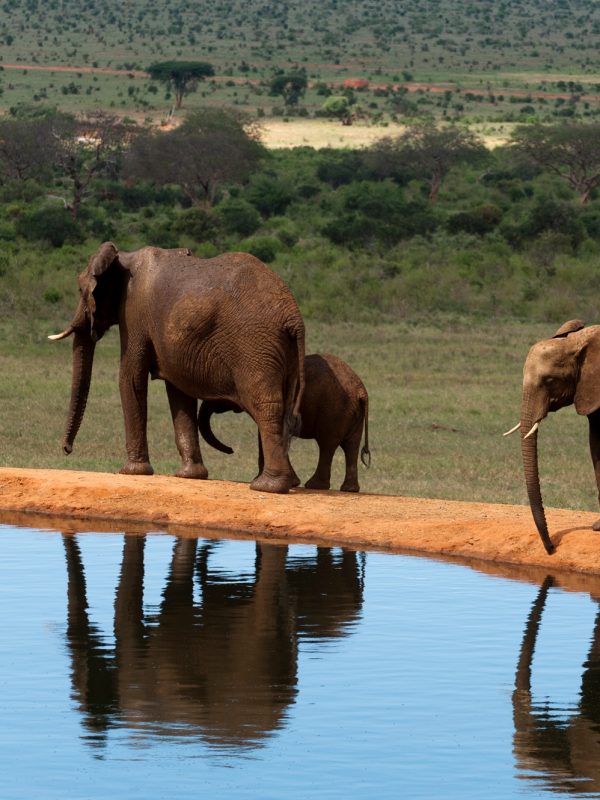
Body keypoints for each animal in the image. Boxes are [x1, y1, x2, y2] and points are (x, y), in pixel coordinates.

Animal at [49, 242, 305, 493]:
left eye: (80, 290)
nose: (66, 449)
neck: (124, 256)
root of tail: (293, 317)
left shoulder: (133, 312)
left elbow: (130, 379)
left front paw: (131, 471)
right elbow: (179, 391)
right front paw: (189, 475)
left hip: (254, 346)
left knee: (265, 407)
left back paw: (267, 486)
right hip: (281, 352)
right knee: (281, 410)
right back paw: (288, 482)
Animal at [198, 353, 371, 492]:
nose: (231, 450)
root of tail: (361, 391)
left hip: (334, 410)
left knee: (327, 445)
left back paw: (315, 486)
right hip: (352, 412)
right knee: (351, 446)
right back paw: (349, 489)